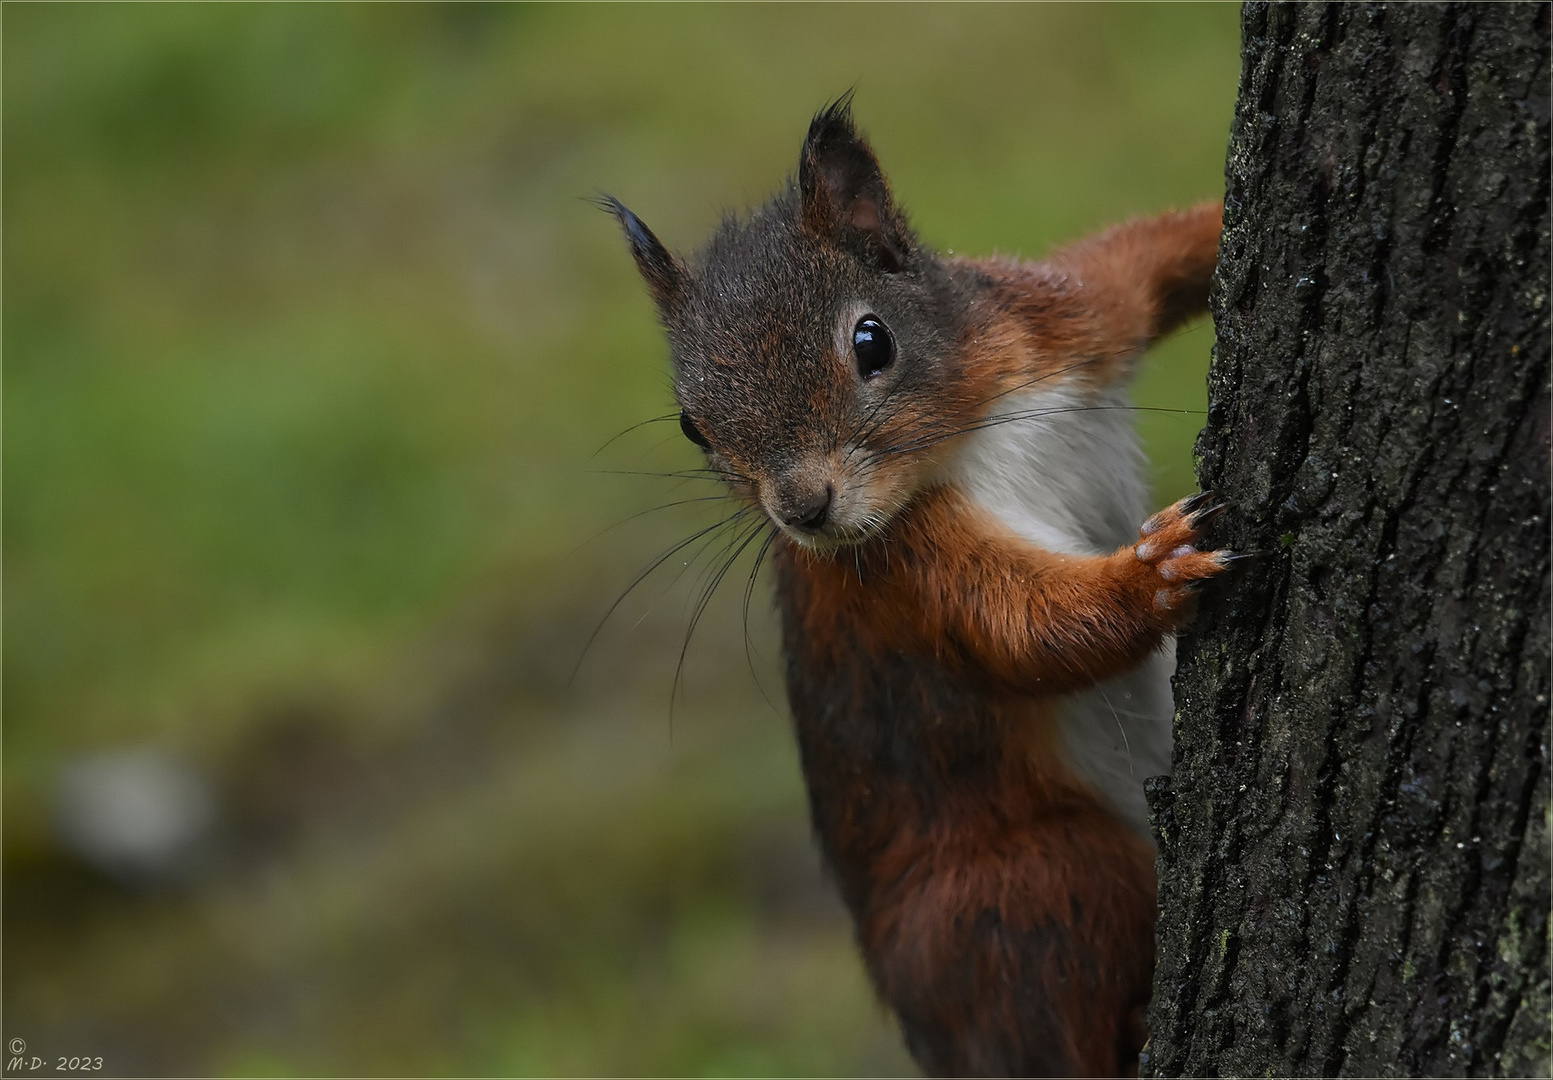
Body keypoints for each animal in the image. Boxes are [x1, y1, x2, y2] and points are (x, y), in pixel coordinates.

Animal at [602, 97, 1223, 1075]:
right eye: (692, 426)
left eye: (872, 340)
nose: (804, 510)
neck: (970, 428)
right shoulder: (896, 574)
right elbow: (1022, 629)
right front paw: (1154, 571)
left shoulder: (1066, 316)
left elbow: (1144, 254)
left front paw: (1220, 222)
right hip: (1039, 879)